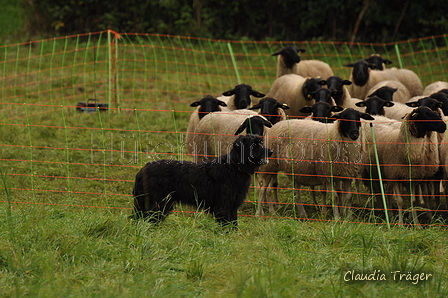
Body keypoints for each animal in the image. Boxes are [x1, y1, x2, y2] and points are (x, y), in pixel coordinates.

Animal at [130, 135, 272, 228]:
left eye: (261, 142)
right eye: (255, 145)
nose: (270, 151)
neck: (234, 166)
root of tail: (142, 170)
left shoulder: (232, 206)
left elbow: (233, 224)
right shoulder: (223, 206)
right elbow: (227, 225)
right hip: (158, 203)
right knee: (148, 219)